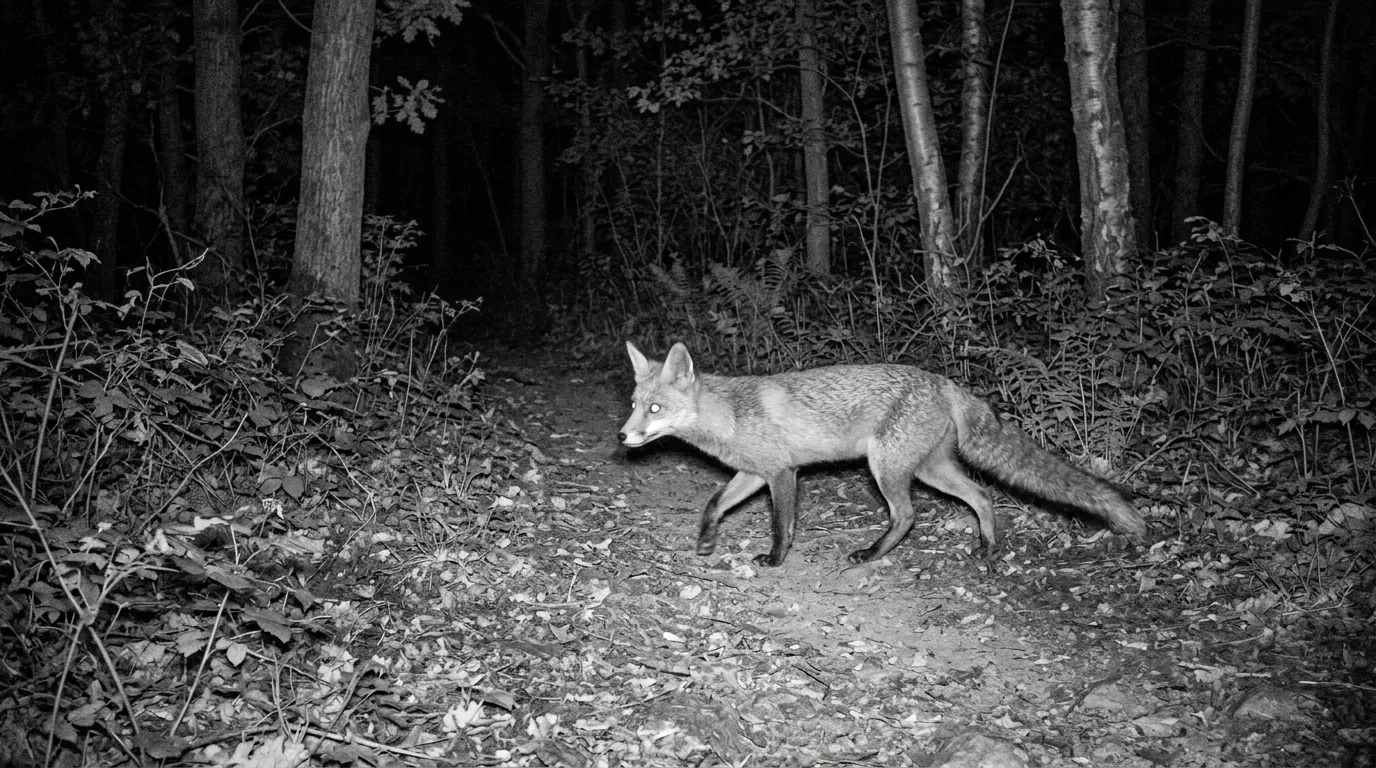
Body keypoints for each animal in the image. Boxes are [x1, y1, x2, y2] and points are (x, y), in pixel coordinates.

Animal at [617, 341, 1148, 567]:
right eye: (634, 404)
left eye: (655, 408)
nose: (622, 436)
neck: (729, 414)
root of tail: (944, 381)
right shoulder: (753, 473)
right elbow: (713, 505)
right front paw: (707, 541)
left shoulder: (782, 473)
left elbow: (782, 526)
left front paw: (775, 560)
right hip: (931, 469)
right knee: (982, 496)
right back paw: (986, 548)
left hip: (887, 469)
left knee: (907, 515)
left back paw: (871, 554)